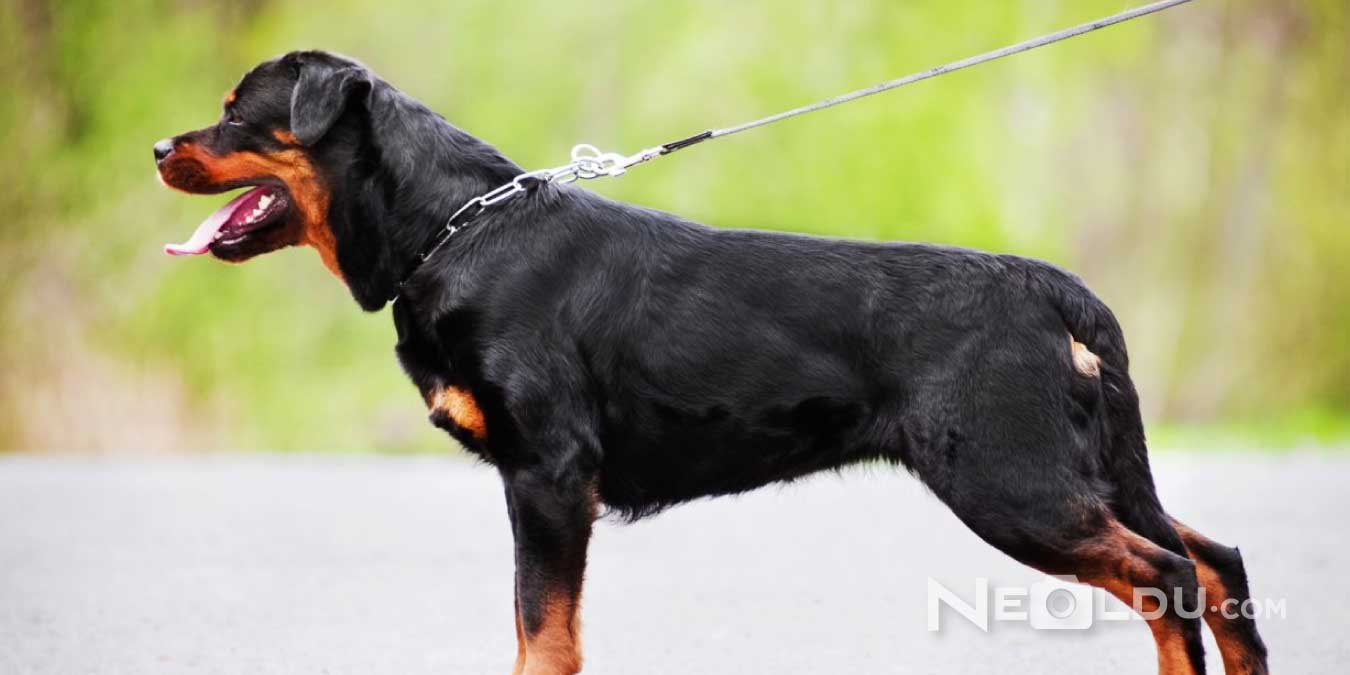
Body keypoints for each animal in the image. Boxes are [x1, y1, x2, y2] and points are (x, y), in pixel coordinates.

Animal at [155, 49, 1263, 672]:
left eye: (239, 109)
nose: (161, 147)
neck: (455, 231)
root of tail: (1058, 291)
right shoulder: (538, 483)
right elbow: (532, 626)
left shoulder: (549, 475)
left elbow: (543, 633)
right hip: (1075, 469)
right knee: (1215, 560)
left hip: (1010, 479)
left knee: (1168, 572)